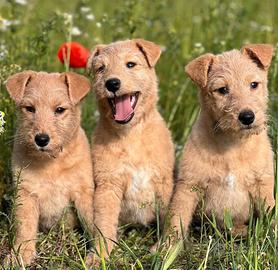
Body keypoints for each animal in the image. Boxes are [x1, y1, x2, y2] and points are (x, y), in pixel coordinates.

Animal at [4, 70, 94, 264]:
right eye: (30, 108)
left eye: (59, 110)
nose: (41, 139)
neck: (52, 162)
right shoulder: (26, 193)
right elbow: (25, 228)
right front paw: (21, 255)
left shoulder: (83, 192)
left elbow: (94, 223)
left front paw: (102, 252)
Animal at [86, 38, 175, 264]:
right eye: (101, 68)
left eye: (131, 64)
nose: (112, 83)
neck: (132, 134)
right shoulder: (108, 185)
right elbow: (104, 223)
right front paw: (99, 255)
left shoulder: (163, 182)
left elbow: (169, 218)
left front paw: (165, 249)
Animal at [170, 43, 274, 238]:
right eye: (222, 90)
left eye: (254, 84)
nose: (247, 117)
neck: (232, 143)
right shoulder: (189, 185)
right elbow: (175, 220)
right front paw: (167, 245)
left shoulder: (262, 183)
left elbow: (272, 214)